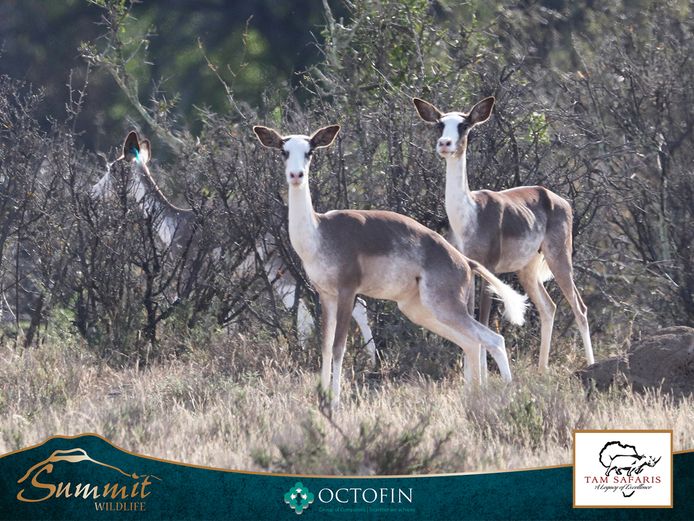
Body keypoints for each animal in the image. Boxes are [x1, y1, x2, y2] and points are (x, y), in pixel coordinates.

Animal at [91, 131, 376, 361]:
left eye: (112, 169)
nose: (93, 193)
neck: (171, 224)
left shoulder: (183, 272)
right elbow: (230, 323)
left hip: (284, 267)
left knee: (318, 310)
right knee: (338, 307)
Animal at [253, 123, 528, 408]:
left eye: (309, 151)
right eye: (284, 151)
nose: (296, 175)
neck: (319, 232)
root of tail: (465, 261)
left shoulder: (347, 292)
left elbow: (339, 347)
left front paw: (335, 401)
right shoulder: (325, 295)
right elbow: (326, 346)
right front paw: (322, 399)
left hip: (444, 307)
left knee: (493, 339)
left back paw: (506, 395)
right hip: (421, 311)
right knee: (472, 343)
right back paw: (474, 396)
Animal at [413, 96, 594, 376]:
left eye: (464, 125)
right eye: (440, 124)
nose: (445, 144)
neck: (469, 215)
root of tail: (556, 198)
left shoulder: (488, 268)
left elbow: (484, 320)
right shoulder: (469, 268)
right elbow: (471, 320)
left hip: (560, 258)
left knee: (580, 307)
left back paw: (590, 365)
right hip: (526, 270)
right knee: (549, 307)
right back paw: (541, 369)